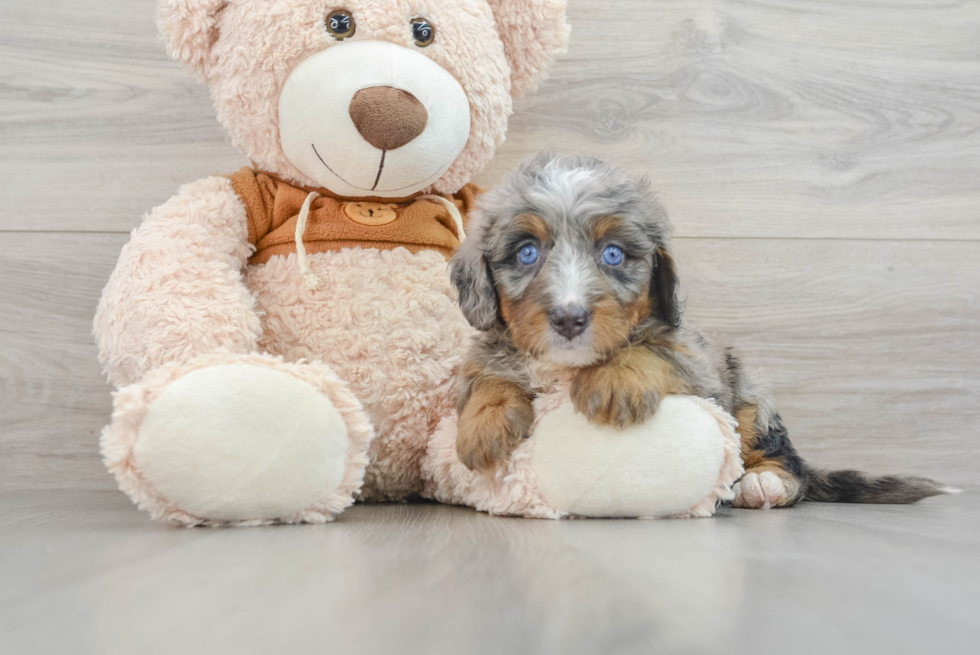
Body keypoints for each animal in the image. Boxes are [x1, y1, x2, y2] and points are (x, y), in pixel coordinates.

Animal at [450, 152, 948, 508]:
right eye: (527, 252)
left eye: (612, 254)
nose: (569, 318)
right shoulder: (488, 351)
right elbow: (488, 375)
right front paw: (486, 422)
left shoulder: (693, 360)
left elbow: (652, 348)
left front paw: (615, 380)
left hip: (750, 398)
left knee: (787, 461)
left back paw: (764, 483)